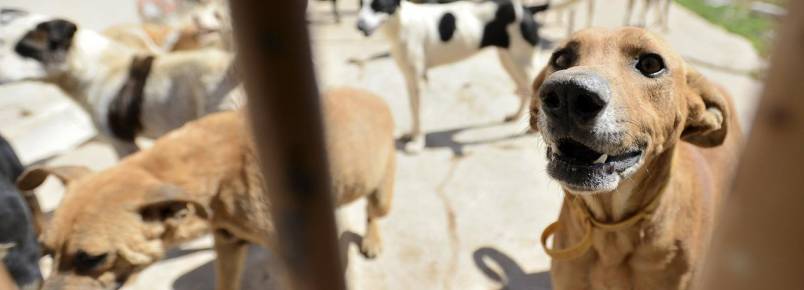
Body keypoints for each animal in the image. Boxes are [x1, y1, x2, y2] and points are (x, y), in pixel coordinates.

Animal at [18, 87, 396, 290]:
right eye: (45, 252)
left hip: (381, 191)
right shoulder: (228, 244)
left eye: (94, 258)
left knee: (373, 213)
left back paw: (373, 240)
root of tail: (376, 98)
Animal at [356, 0, 548, 153]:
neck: (401, 24)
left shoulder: (418, 80)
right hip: (508, 60)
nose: (358, 26)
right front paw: (410, 134)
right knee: (522, 89)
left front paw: (417, 143)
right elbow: (412, 109)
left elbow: (418, 113)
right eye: (360, 4)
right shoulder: (409, 79)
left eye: (378, 5)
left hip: (523, 62)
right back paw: (515, 117)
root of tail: (527, 9)